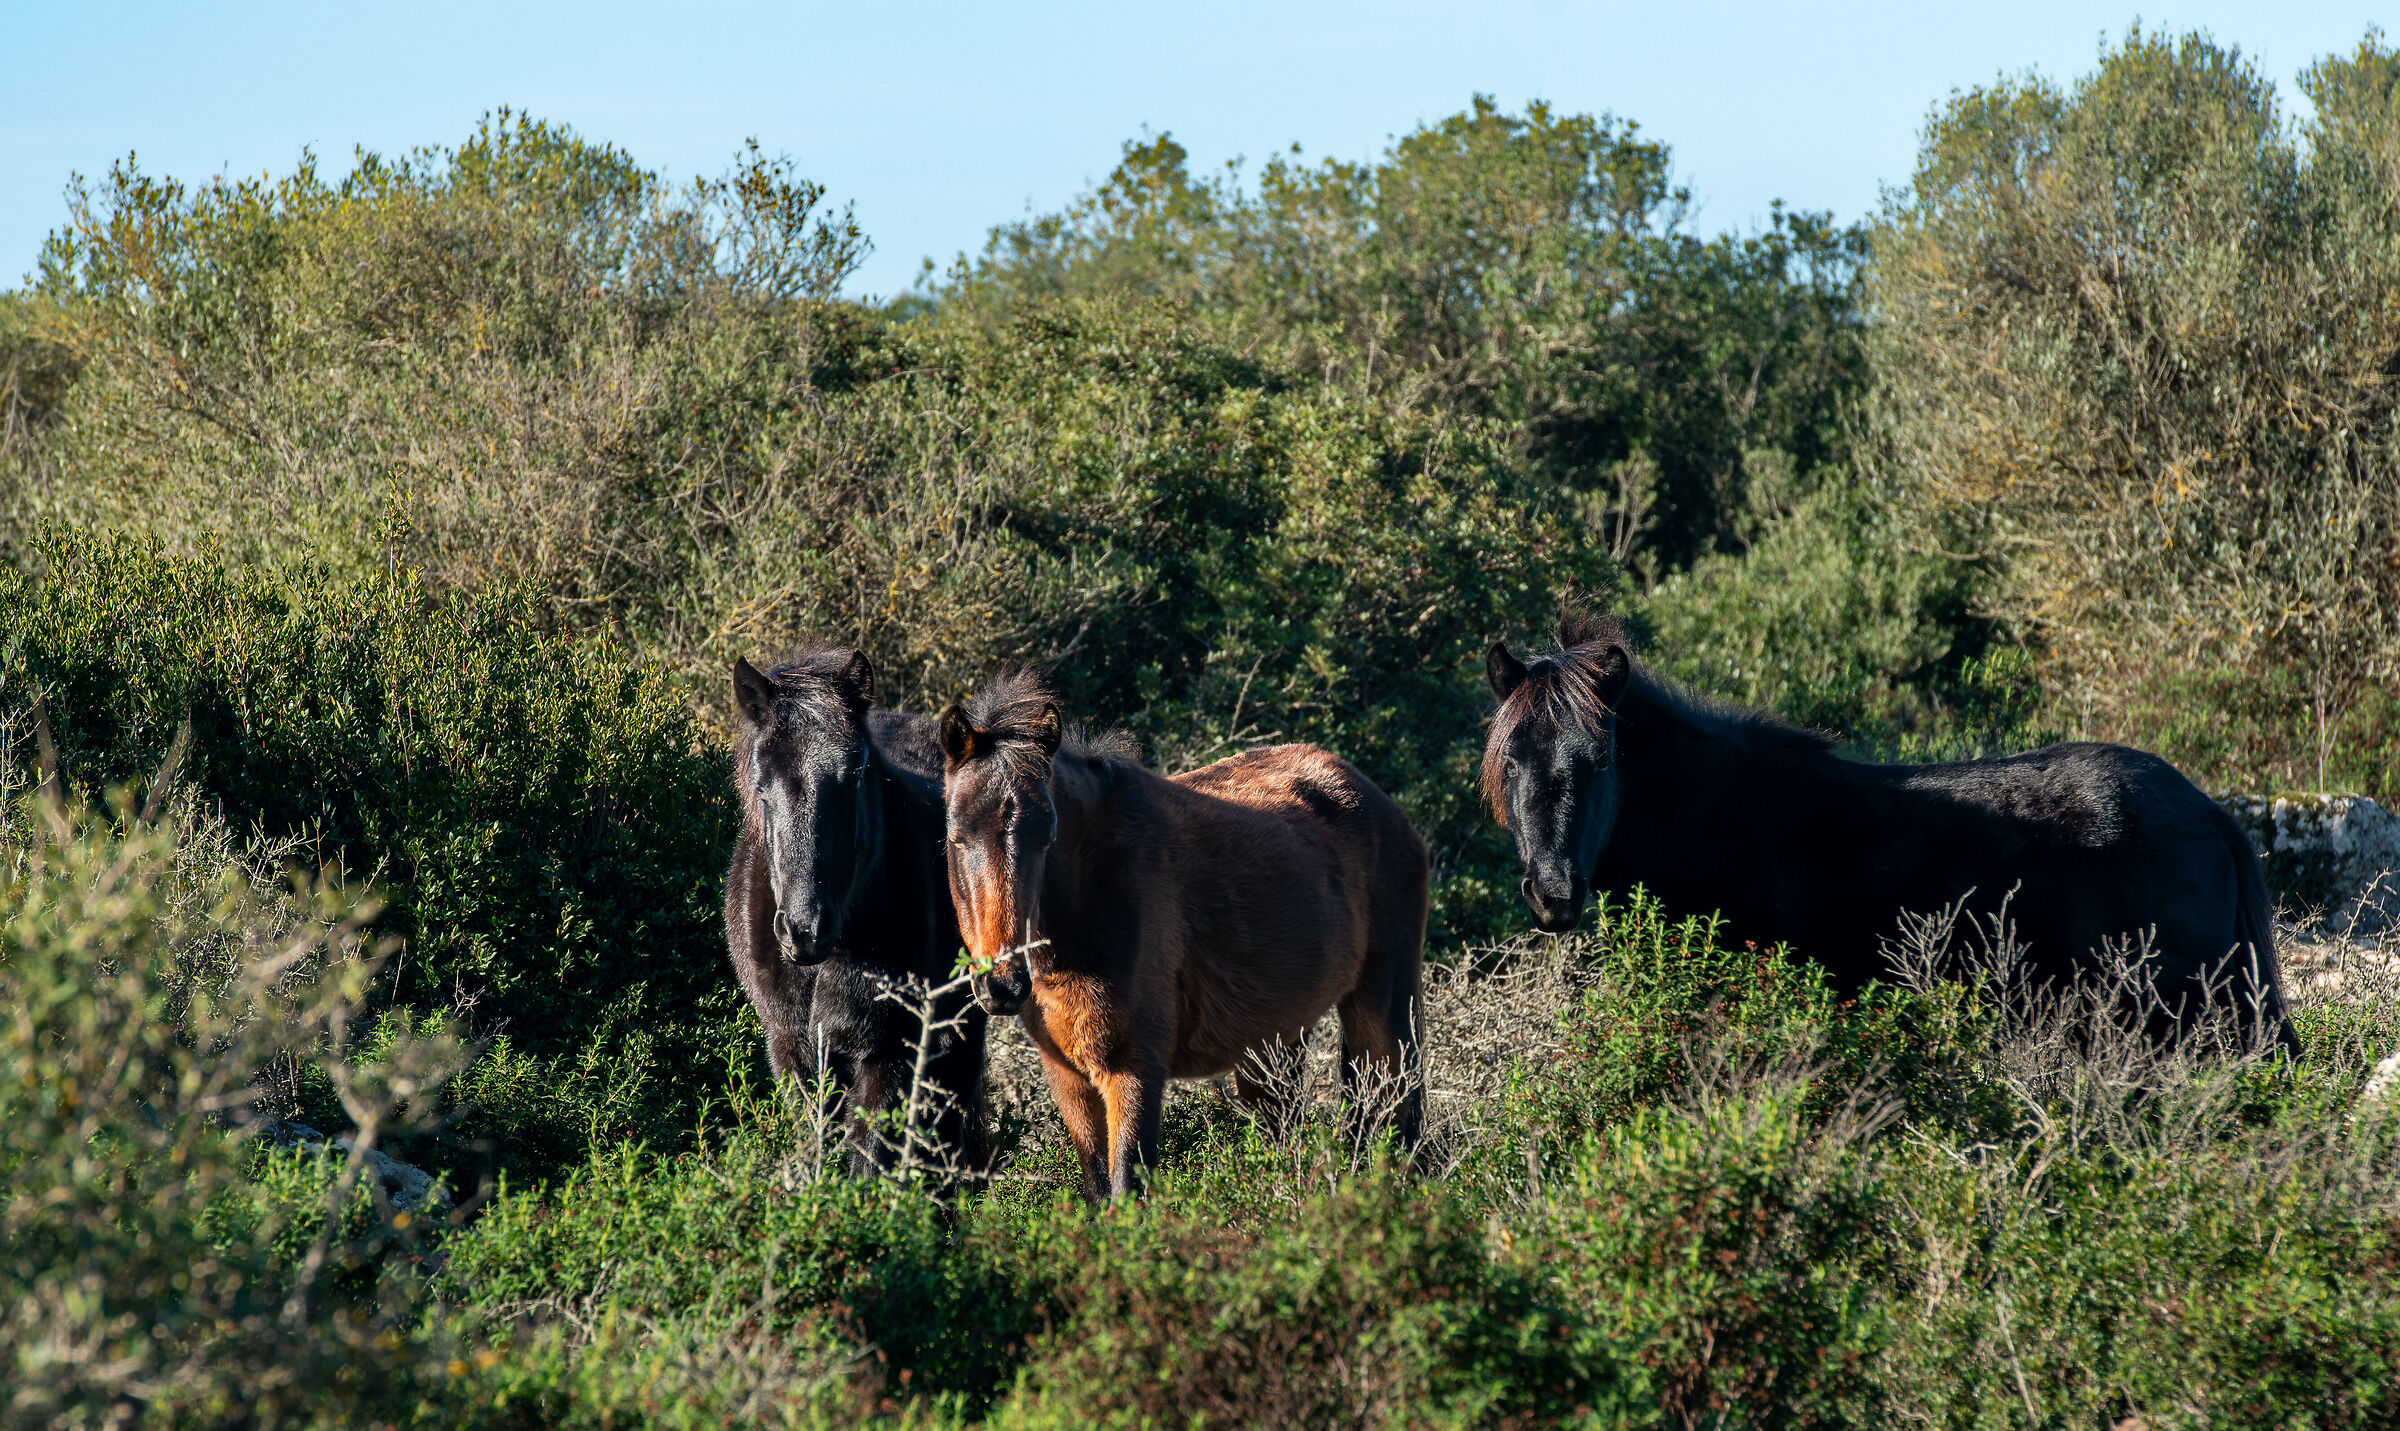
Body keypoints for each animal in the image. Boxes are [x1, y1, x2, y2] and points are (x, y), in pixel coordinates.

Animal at [724, 646, 990, 1176]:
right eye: (762, 785)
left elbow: (867, 1159)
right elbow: (817, 1145)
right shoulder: (792, 1049)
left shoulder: (885, 1054)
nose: (805, 930)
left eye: (855, 775)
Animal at [936, 672, 1429, 1200]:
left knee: (1394, 1121)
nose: (1003, 985)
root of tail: (1382, 805)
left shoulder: (1134, 1071)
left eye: (1048, 835)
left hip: (1383, 1017)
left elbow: (1126, 1189)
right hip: (1274, 1047)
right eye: (957, 837)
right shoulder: (1069, 1081)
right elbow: (1097, 1189)